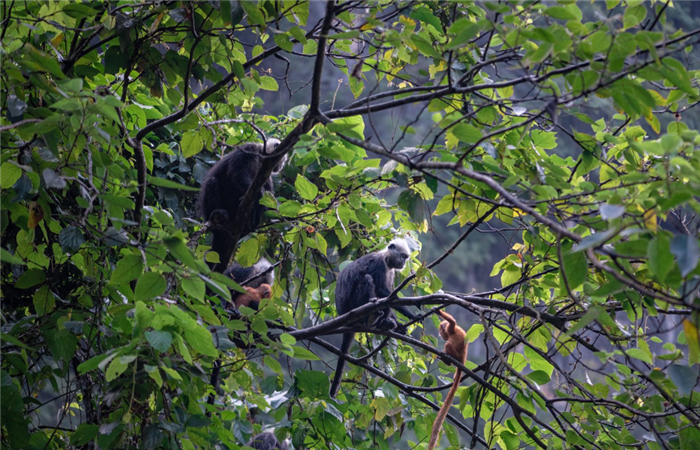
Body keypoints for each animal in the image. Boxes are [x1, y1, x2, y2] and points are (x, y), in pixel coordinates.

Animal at [197, 139, 288, 272]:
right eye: (282, 160)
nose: (281, 166)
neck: (261, 158)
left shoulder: (267, 175)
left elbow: (267, 196)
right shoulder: (248, 149)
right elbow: (237, 173)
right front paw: (258, 195)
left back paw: (250, 221)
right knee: (213, 182)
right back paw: (217, 214)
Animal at [330, 239, 422, 398]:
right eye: (403, 256)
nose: (404, 263)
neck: (386, 260)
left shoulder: (391, 272)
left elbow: (388, 298)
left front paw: (399, 325)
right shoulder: (378, 264)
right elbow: (384, 293)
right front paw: (411, 314)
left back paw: (384, 323)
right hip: (354, 305)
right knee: (367, 279)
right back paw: (372, 319)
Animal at [430, 310, 468, 450]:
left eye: (441, 331)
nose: (441, 335)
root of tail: (462, 358)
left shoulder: (451, 328)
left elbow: (452, 322)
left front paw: (438, 311)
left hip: (455, 352)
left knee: (448, 345)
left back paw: (447, 360)